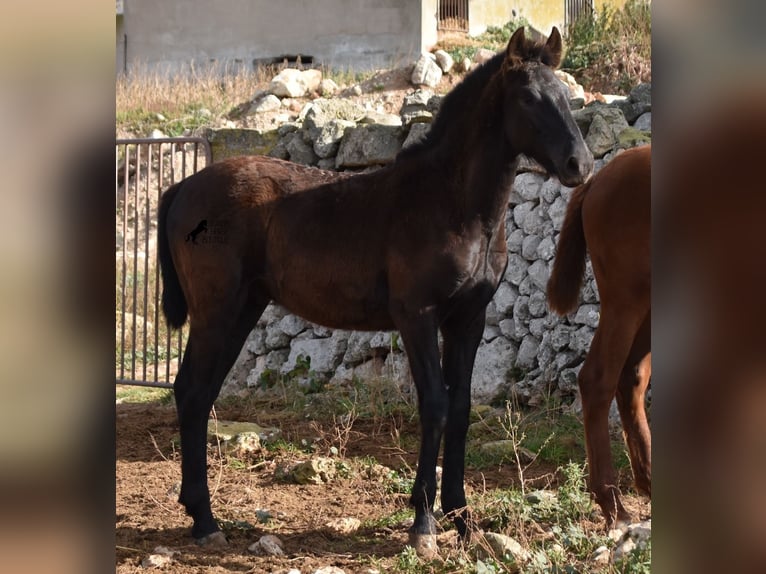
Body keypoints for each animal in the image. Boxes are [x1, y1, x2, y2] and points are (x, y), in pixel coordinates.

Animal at [159, 27, 596, 560]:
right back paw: (204, 520)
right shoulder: (417, 316)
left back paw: (198, 512)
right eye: (529, 98)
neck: (451, 203)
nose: (580, 164)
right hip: (216, 312)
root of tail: (182, 188)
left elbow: (461, 407)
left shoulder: (468, 320)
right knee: (191, 391)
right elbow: (435, 404)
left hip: (242, 310)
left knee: (200, 394)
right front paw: (424, 523)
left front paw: (462, 519)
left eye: (565, 96)